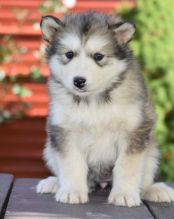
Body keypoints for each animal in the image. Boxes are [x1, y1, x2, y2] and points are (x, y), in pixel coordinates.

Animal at [36, 11, 174, 207]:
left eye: (98, 56)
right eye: (69, 54)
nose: (79, 81)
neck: (93, 100)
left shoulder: (134, 130)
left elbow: (127, 166)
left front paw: (124, 194)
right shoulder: (63, 130)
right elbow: (72, 163)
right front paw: (72, 191)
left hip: (152, 151)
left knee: (145, 178)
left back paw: (154, 190)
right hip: (49, 148)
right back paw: (54, 183)